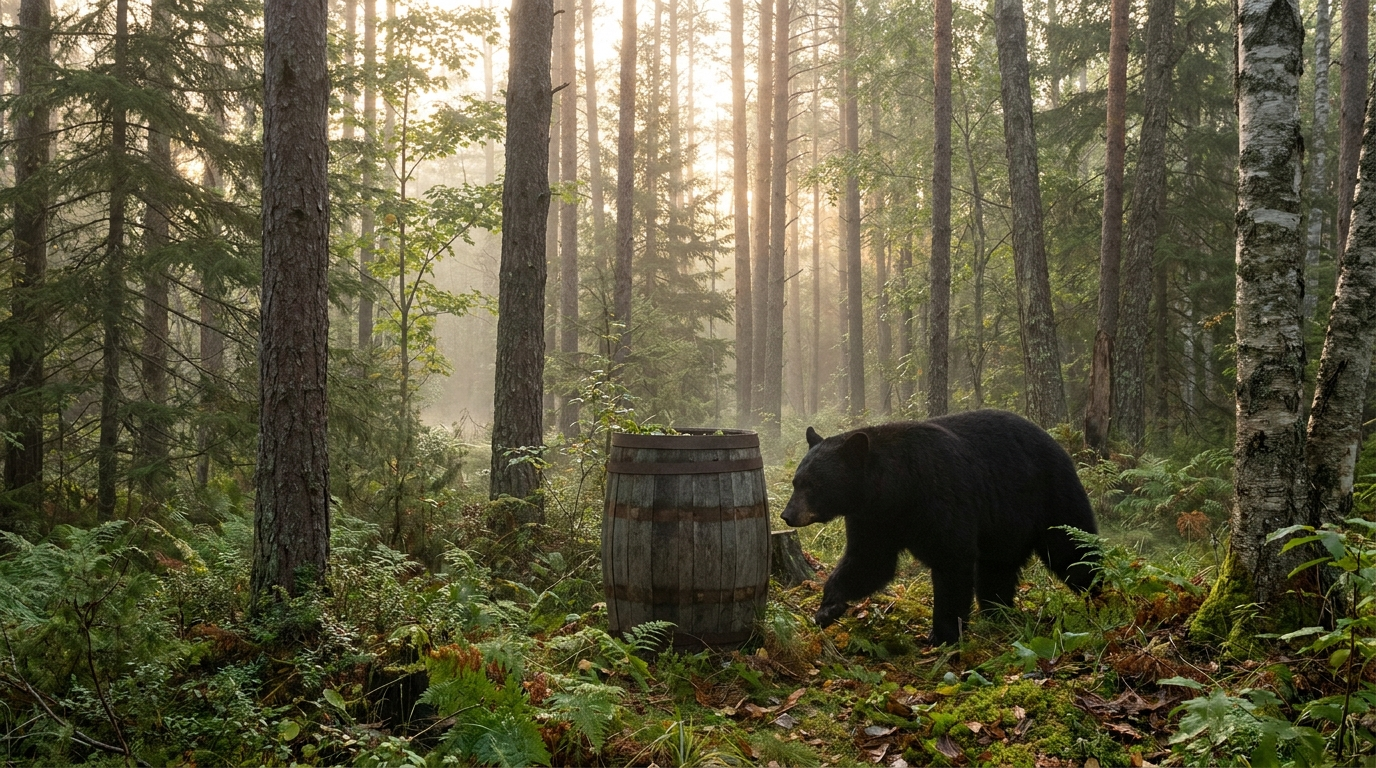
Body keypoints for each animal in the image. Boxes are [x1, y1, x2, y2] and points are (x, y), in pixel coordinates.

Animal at [780, 409, 1100, 645]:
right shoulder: (874, 519)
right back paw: (996, 612)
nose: (787, 515)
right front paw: (827, 609)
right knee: (996, 569)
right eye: (797, 481)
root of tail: (1057, 444)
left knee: (1073, 551)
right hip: (1006, 525)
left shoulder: (940, 496)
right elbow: (868, 562)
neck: (896, 490)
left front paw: (942, 634)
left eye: (814, 485)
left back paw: (1097, 596)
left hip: (1050, 496)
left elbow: (951, 559)